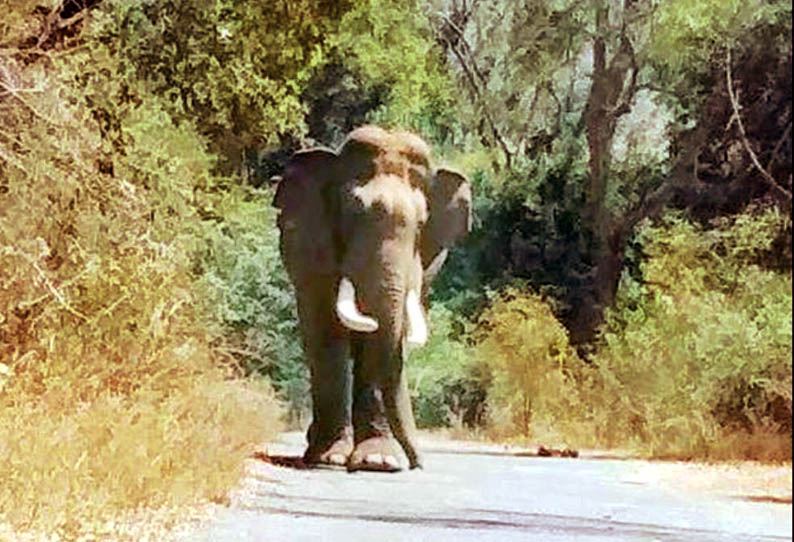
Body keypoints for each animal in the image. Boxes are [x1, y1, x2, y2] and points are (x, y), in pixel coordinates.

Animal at [272, 125, 470, 474]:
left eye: (421, 225)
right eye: (351, 215)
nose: (418, 463)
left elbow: (384, 342)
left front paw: (378, 462)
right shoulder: (312, 249)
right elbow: (327, 335)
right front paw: (331, 459)